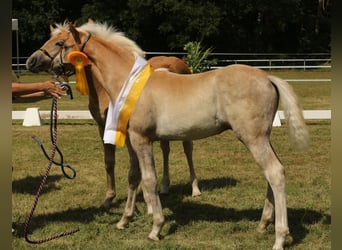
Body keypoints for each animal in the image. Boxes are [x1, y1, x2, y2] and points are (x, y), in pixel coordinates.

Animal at [26, 22, 308, 250]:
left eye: (60, 43)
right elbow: (134, 176)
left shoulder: (141, 139)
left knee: (275, 172)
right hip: (262, 138)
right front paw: (124, 220)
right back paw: (263, 224)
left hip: (253, 139)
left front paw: (155, 228)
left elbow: (149, 181)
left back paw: (279, 237)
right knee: (273, 172)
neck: (128, 81)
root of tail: (268, 77)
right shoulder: (132, 140)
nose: (31, 61)